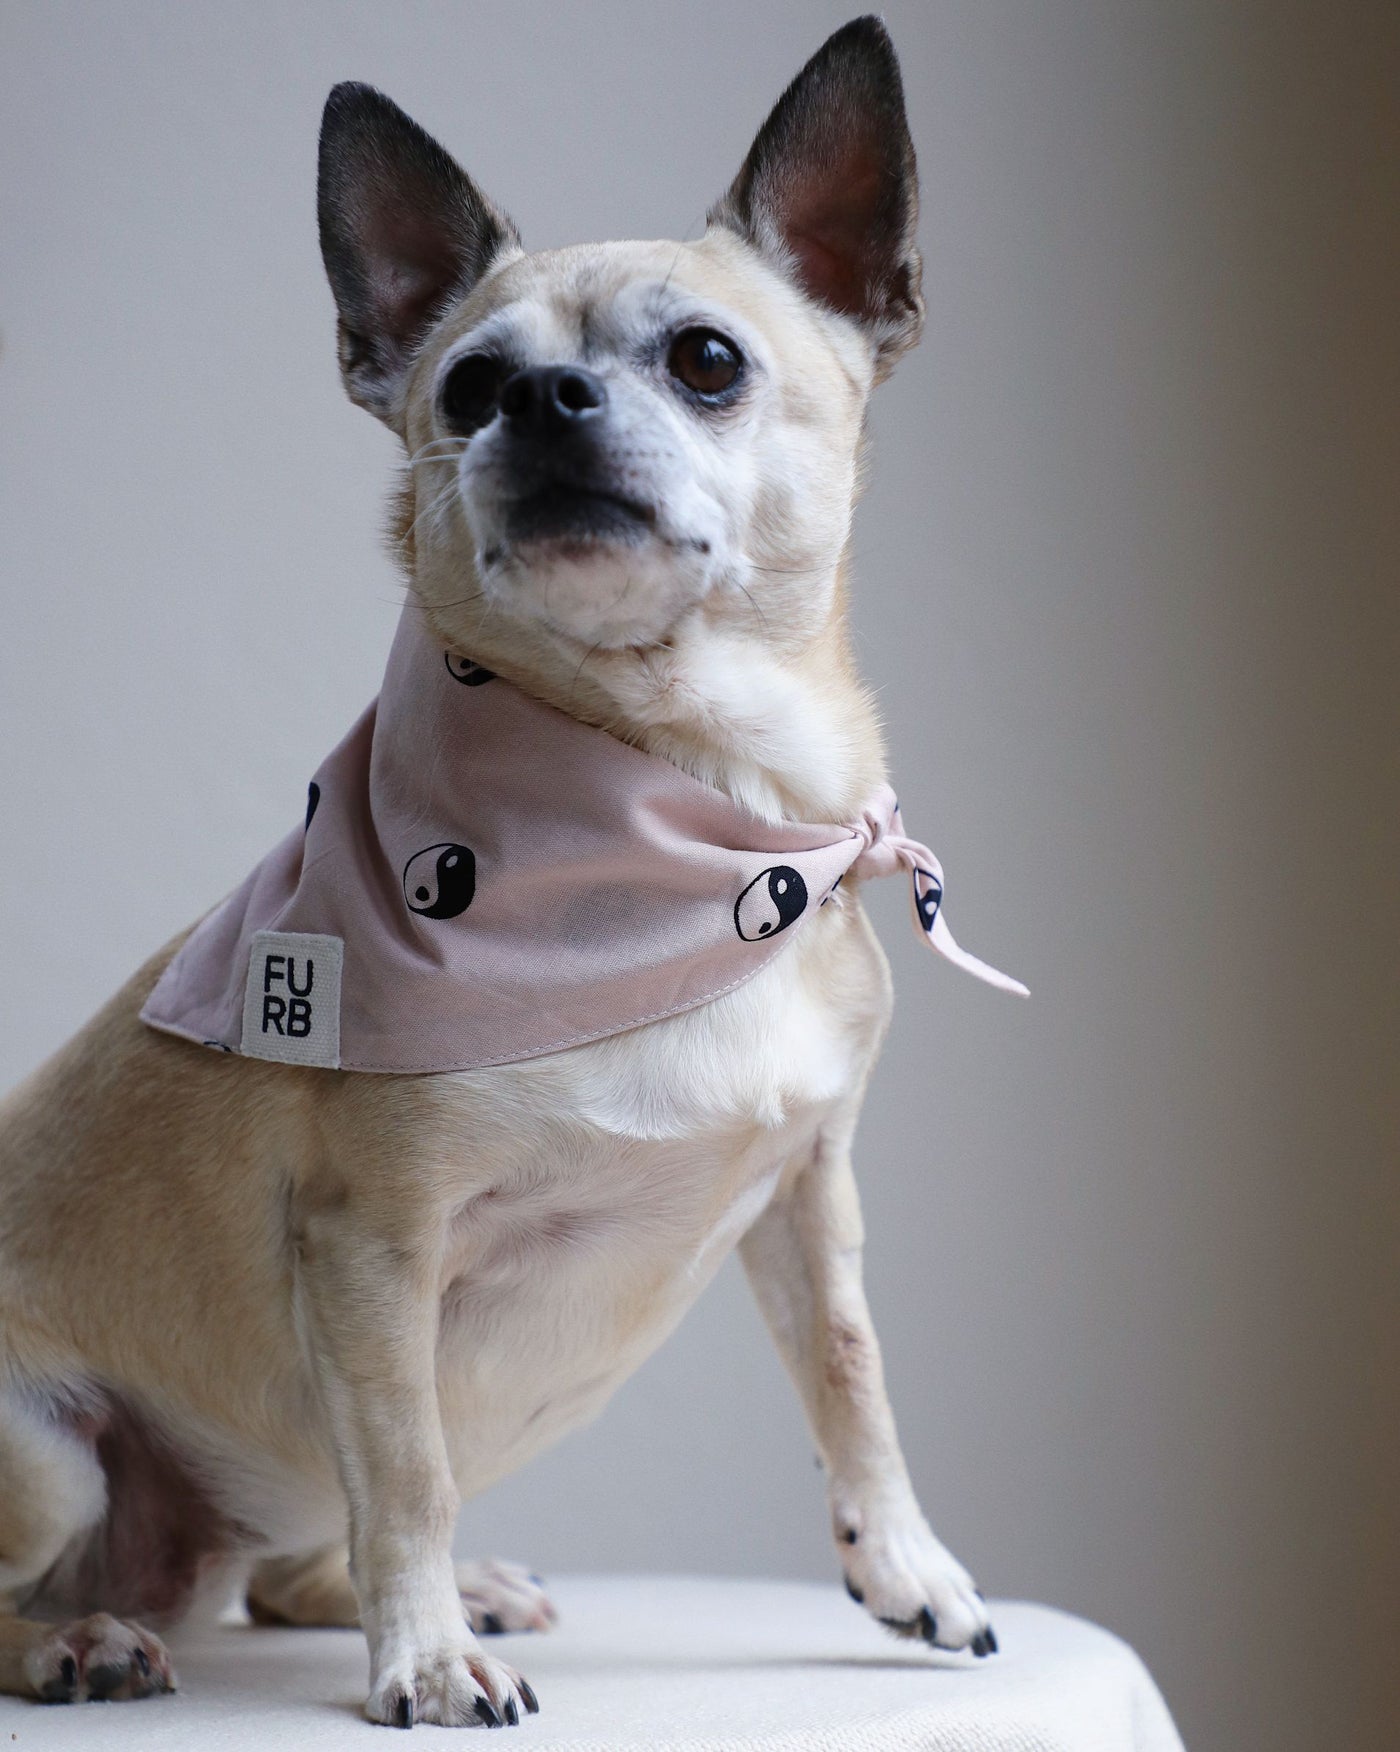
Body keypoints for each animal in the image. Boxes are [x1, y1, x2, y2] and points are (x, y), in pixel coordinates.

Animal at [0, 20, 1009, 1730]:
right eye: (467, 383)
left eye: (708, 361)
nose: (536, 398)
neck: (702, 817)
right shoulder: (372, 1255)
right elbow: (406, 1467)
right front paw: (422, 1664)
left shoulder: (809, 1193)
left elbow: (853, 1380)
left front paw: (910, 1573)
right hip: (46, 1459)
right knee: (76, 1584)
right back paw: (88, 1642)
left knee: (282, 1569)